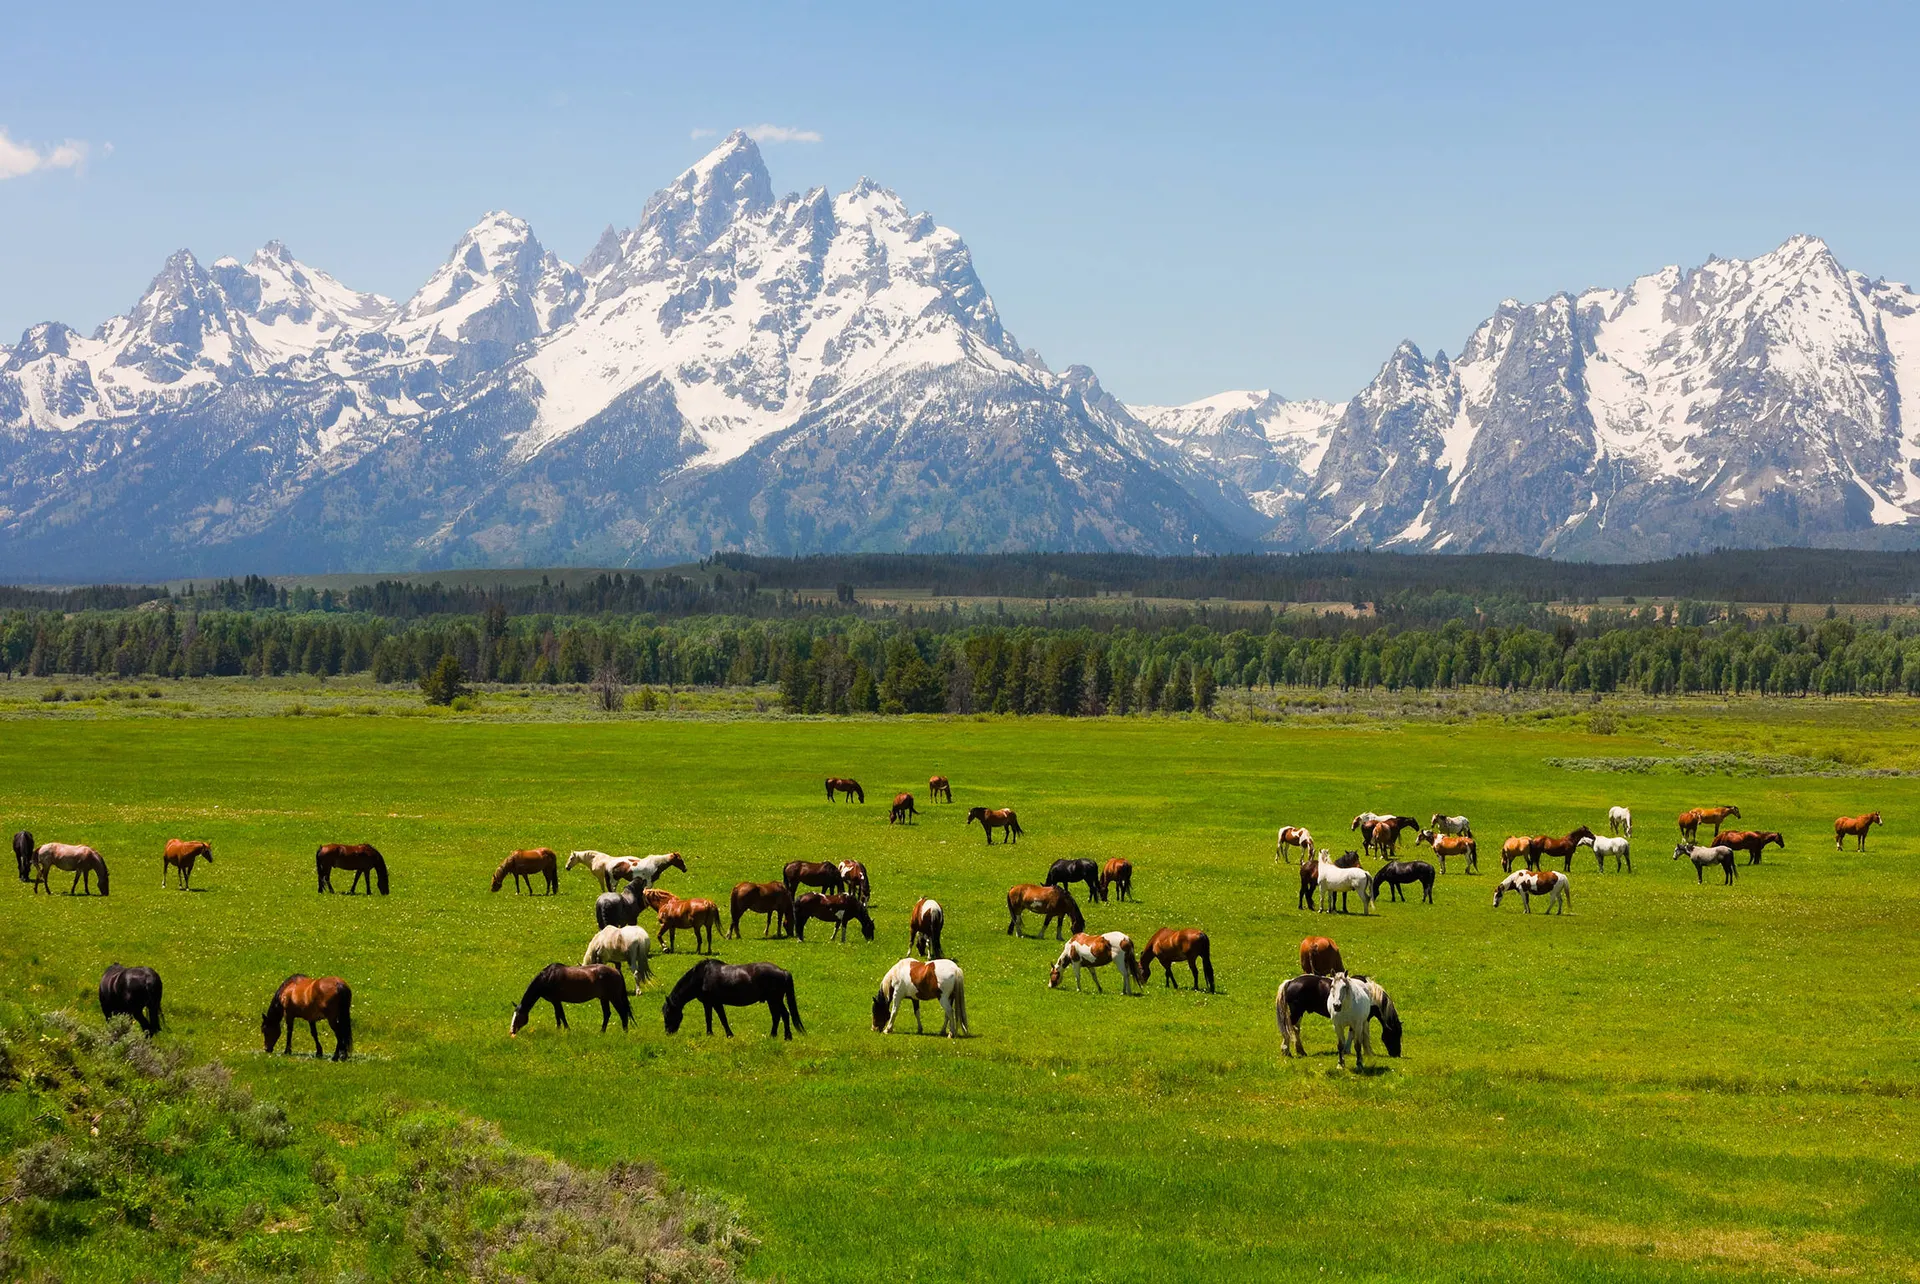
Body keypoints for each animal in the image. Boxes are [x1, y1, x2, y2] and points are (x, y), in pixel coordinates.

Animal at [668, 955, 802, 1036]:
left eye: (668, 1012)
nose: (668, 1032)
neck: (702, 976)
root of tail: (782, 971)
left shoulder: (716, 1003)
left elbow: (723, 1019)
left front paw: (729, 1035)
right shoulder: (708, 1003)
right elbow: (708, 1019)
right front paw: (709, 1034)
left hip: (774, 999)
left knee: (780, 1015)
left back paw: (779, 1036)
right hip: (775, 1000)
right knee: (782, 1015)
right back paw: (781, 1036)